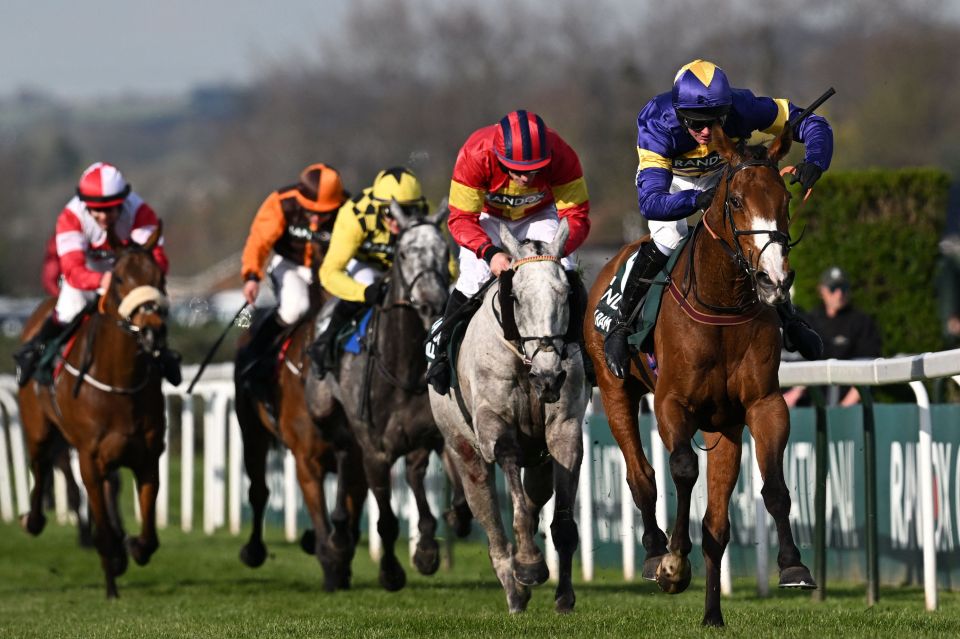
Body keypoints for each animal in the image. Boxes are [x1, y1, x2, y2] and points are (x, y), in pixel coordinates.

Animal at [17, 222, 169, 596]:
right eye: (119, 278)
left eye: (159, 277)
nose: (152, 332)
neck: (119, 384)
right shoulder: (89, 458)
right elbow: (100, 526)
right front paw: (112, 581)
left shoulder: (148, 457)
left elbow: (149, 538)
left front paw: (131, 546)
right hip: (39, 430)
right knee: (40, 467)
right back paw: (33, 519)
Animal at [234, 298, 370, 592]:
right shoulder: (307, 463)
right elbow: (321, 519)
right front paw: (331, 567)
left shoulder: (357, 460)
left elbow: (350, 515)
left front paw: (340, 561)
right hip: (252, 432)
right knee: (258, 491)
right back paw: (253, 551)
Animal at [308, 202, 472, 592]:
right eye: (403, 253)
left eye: (444, 252)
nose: (430, 303)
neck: (404, 367)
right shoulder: (376, 450)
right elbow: (386, 519)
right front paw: (391, 572)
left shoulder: (434, 435)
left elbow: (457, 505)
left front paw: (428, 549)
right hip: (330, 413)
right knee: (343, 453)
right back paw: (338, 534)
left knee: (412, 475)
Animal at [430, 220, 592, 616]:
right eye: (516, 297)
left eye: (566, 294)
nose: (549, 376)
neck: (524, 361)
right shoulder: (493, 426)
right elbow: (511, 487)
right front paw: (530, 564)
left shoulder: (564, 431)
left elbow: (562, 522)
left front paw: (564, 596)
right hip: (464, 451)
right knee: (490, 523)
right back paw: (514, 587)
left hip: (539, 459)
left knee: (535, 494)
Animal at [584, 126, 816, 632]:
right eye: (736, 201)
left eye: (785, 198)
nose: (774, 280)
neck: (722, 303)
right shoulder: (671, 403)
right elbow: (682, 469)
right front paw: (673, 562)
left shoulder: (763, 404)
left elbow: (774, 488)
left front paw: (792, 565)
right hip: (615, 391)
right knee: (642, 476)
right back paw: (656, 553)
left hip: (723, 426)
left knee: (716, 526)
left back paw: (712, 613)